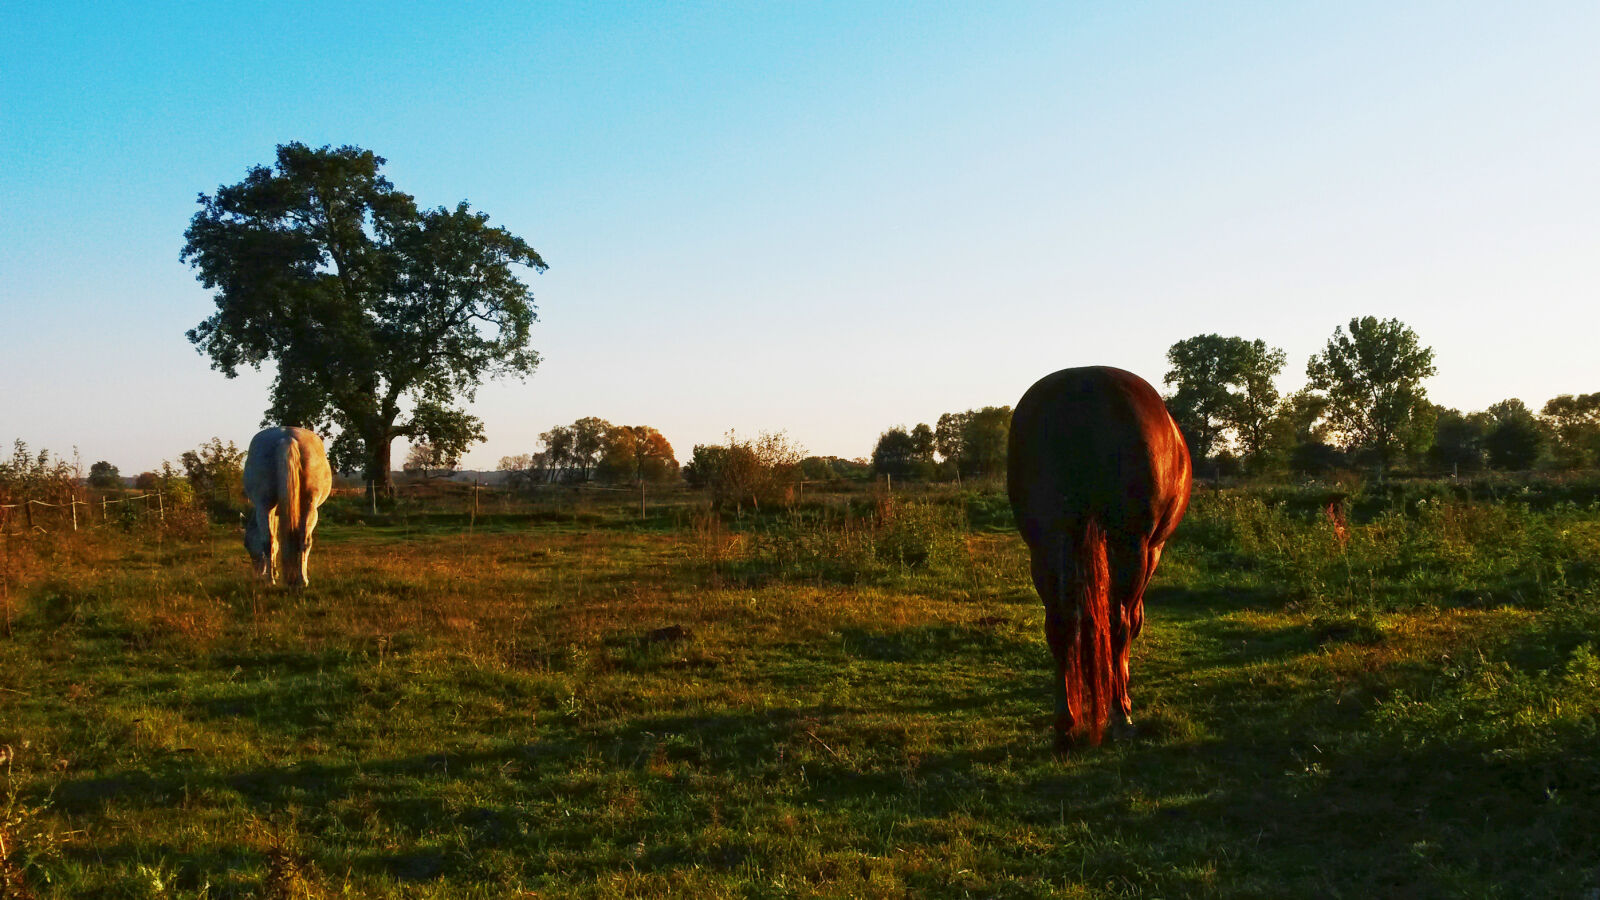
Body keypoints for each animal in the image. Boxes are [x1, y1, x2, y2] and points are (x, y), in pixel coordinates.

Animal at [243, 426, 333, 587]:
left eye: (246, 544)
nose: (257, 573)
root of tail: (287, 436)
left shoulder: (272, 512)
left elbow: (275, 543)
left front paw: (275, 572)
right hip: (309, 508)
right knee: (302, 541)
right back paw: (300, 580)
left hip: (265, 507)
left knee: (270, 541)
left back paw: (272, 579)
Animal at [1007, 366, 1192, 754]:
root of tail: (1084, 384)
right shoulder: (1151, 550)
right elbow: (1130, 622)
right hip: (1130, 546)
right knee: (1117, 622)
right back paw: (1121, 716)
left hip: (1046, 546)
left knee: (1059, 625)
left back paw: (1065, 725)